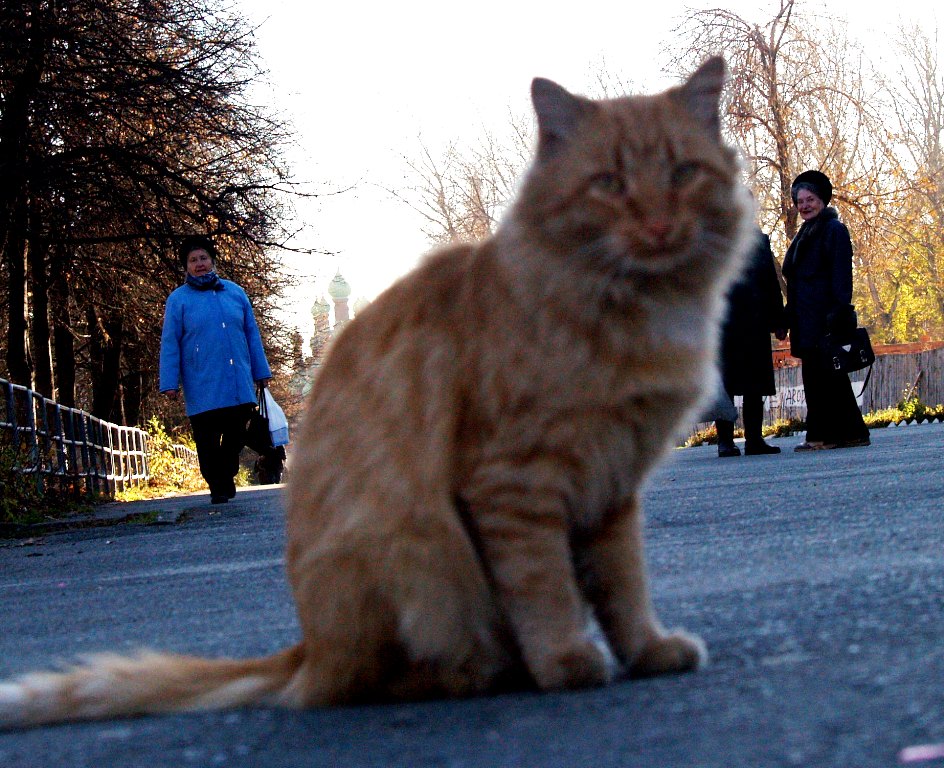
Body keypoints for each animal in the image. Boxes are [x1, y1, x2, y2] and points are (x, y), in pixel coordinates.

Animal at [0, 58, 752, 728]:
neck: (637, 312)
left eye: (683, 173)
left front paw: (649, 651)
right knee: (368, 681)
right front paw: (567, 661)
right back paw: (480, 672)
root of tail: (307, 647)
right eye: (609, 183)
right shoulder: (516, 481)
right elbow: (546, 588)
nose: (658, 226)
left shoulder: (612, 487)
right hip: (415, 551)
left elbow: (624, 584)